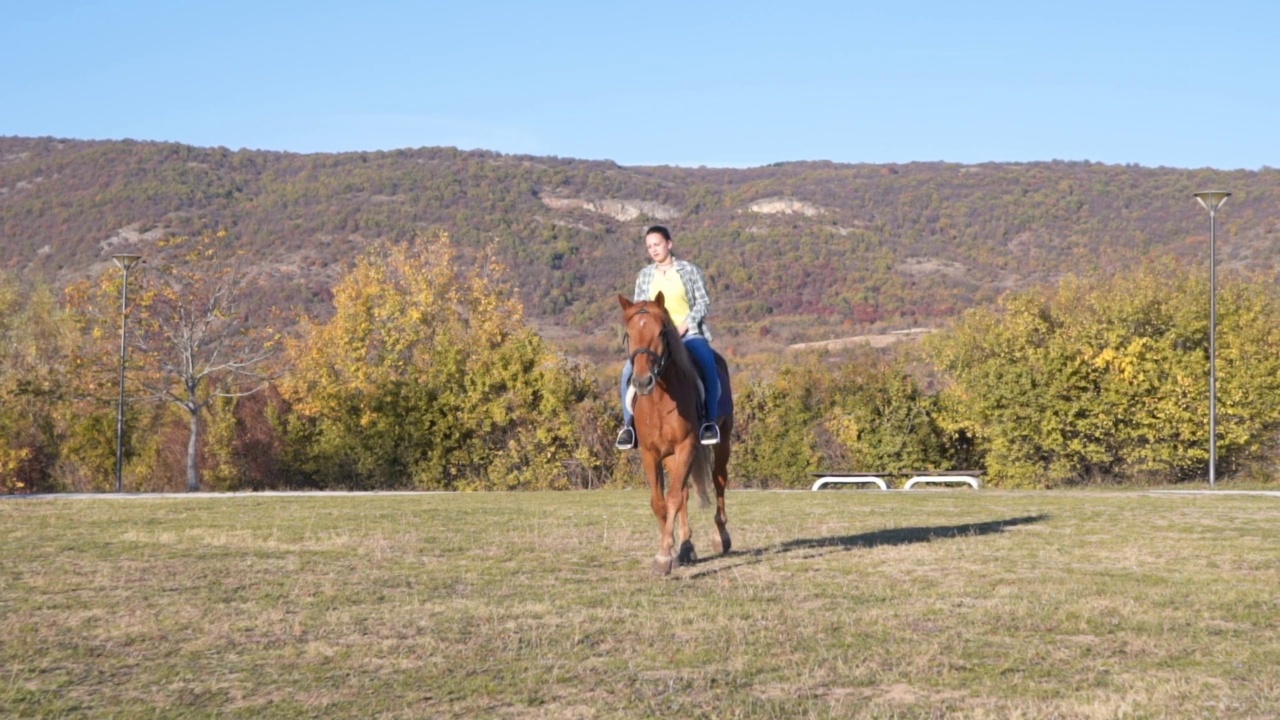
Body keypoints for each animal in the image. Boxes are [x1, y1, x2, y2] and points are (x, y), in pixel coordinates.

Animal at [616, 288, 732, 573]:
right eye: (629, 334)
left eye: (661, 332)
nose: (642, 381)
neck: (659, 399)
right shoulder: (651, 453)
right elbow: (661, 502)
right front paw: (670, 550)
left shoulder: (687, 445)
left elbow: (673, 498)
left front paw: (663, 557)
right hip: (670, 456)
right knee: (686, 493)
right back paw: (687, 547)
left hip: (722, 441)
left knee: (718, 480)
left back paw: (721, 537)